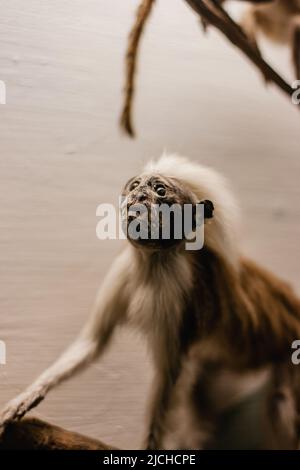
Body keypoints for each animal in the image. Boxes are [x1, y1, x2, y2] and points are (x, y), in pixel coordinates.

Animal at [0, 154, 300, 448]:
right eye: (135, 186)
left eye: (159, 190)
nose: (139, 195)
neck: (154, 261)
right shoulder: (122, 271)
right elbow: (94, 342)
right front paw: (28, 396)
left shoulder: (177, 295)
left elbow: (168, 379)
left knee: (282, 408)